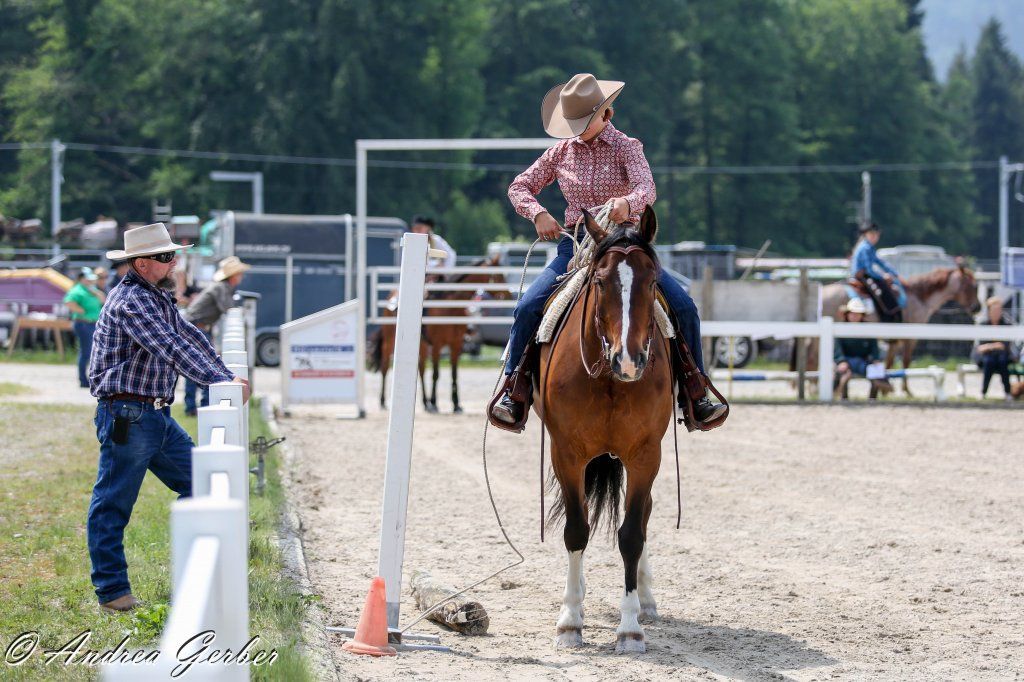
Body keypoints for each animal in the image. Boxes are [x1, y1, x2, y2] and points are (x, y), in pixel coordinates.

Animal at [538, 206, 672, 654]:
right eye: (599, 281)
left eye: (653, 281)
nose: (629, 360)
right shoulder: (566, 453)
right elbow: (576, 530)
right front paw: (569, 621)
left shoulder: (646, 454)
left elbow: (631, 534)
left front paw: (630, 628)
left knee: (643, 517)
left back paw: (646, 601)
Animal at [816, 265, 980, 395]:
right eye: (974, 286)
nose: (977, 307)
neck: (918, 297)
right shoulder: (909, 337)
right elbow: (905, 362)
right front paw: (906, 390)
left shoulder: (893, 341)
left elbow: (888, 364)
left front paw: (883, 389)